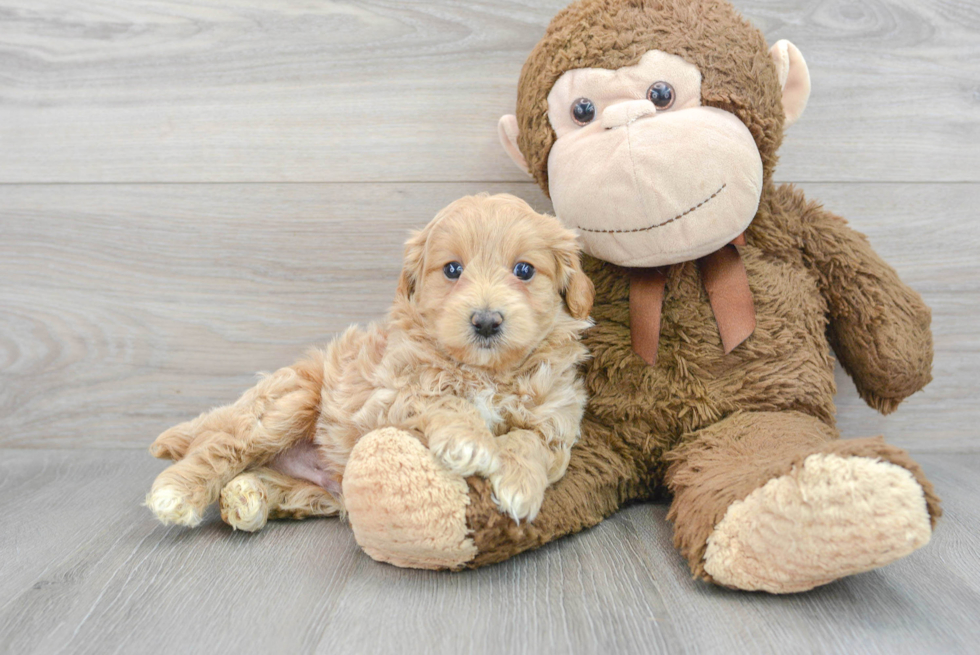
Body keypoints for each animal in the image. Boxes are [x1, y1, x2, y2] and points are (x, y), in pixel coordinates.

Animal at [145, 195, 588, 532]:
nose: (486, 321)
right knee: (221, 445)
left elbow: (532, 440)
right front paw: (470, 440)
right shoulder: (389, 398)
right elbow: (441, 397)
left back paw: (245, 498)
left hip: (314, 488)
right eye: (452, 269)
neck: (486, 372)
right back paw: (178, 493)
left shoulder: (558, 420)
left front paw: (519, 483)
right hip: (289, 401)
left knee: (270, 482)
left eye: (524, 270)